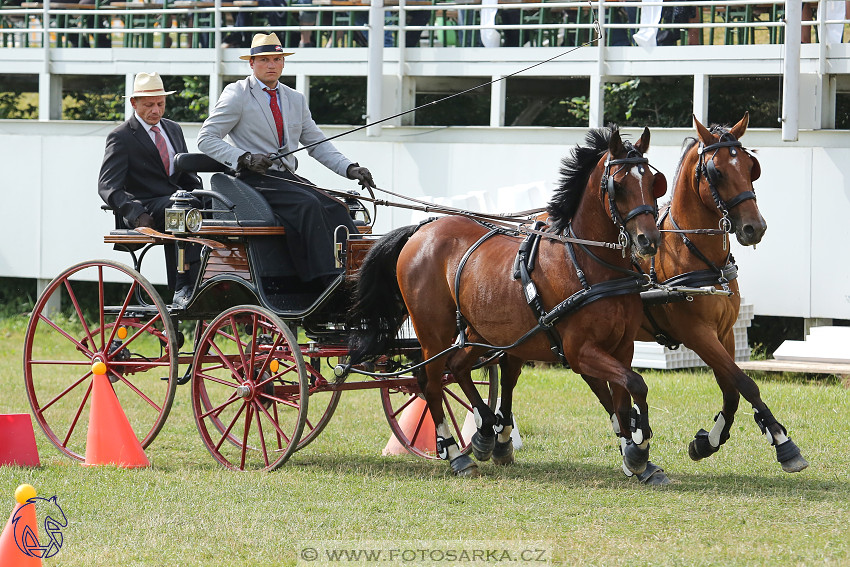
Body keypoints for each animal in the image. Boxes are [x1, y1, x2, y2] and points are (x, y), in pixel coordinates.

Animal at [348, 126, 664, 478]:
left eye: (653, 182)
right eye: (618, 185)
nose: (648, 240)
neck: (586, 261)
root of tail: (421, 229)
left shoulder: (622, 348)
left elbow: (623, 398)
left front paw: (634, 454)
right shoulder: (580, 351)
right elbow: (635, 384)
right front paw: (640, 445)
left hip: (481, 331)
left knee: (457, 367)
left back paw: (485, 427)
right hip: (433, 331)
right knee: (429, 382)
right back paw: (455, 452)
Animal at [584, 113, 808, 478]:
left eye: (751, 167)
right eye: (717, 172)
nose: (755, 228)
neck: (694, 253)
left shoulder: (724, 332)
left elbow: (731, 390)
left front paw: (708, 441)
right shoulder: (697, 334)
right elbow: (745, 383)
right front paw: (782, 441)